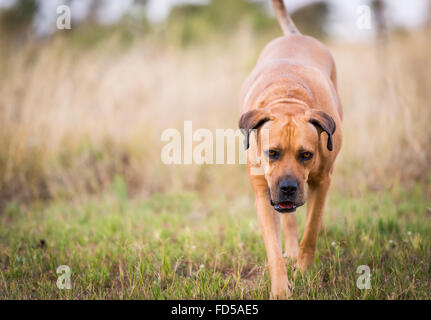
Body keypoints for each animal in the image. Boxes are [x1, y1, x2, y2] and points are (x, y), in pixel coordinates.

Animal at [240, 0, 344, 300]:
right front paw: (280, 287)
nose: (287, 188)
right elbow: (273, 248)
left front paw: (304, 272)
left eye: (306, 155)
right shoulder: (263, 193)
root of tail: (296, 35)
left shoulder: (321, 181)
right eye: (271, 153)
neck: (287, 98)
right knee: (288, 222)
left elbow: (310, 231)